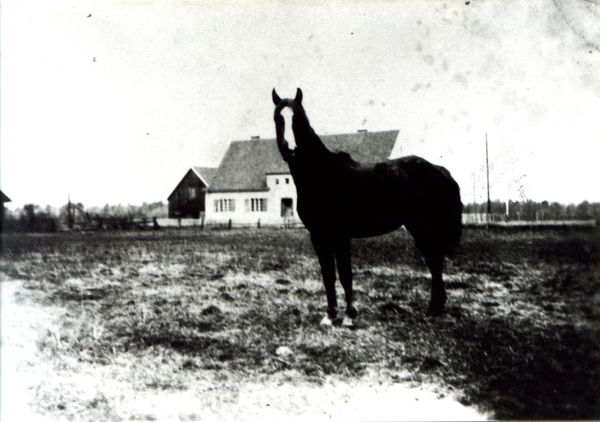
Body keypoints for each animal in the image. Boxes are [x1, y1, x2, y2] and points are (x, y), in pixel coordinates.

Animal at [274, 88, 464, 326]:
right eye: (278, 118)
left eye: (298, 118)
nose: (290, 150)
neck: (324, 175)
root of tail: (439, 169)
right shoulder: (318, 235)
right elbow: (328, 274)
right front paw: (330, 316)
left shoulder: (340, 235)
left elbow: (345, 273)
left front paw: (349, 316)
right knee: (435, 262)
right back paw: (436, 307)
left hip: (423, 228)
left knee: (434, 261)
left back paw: (433, 308)